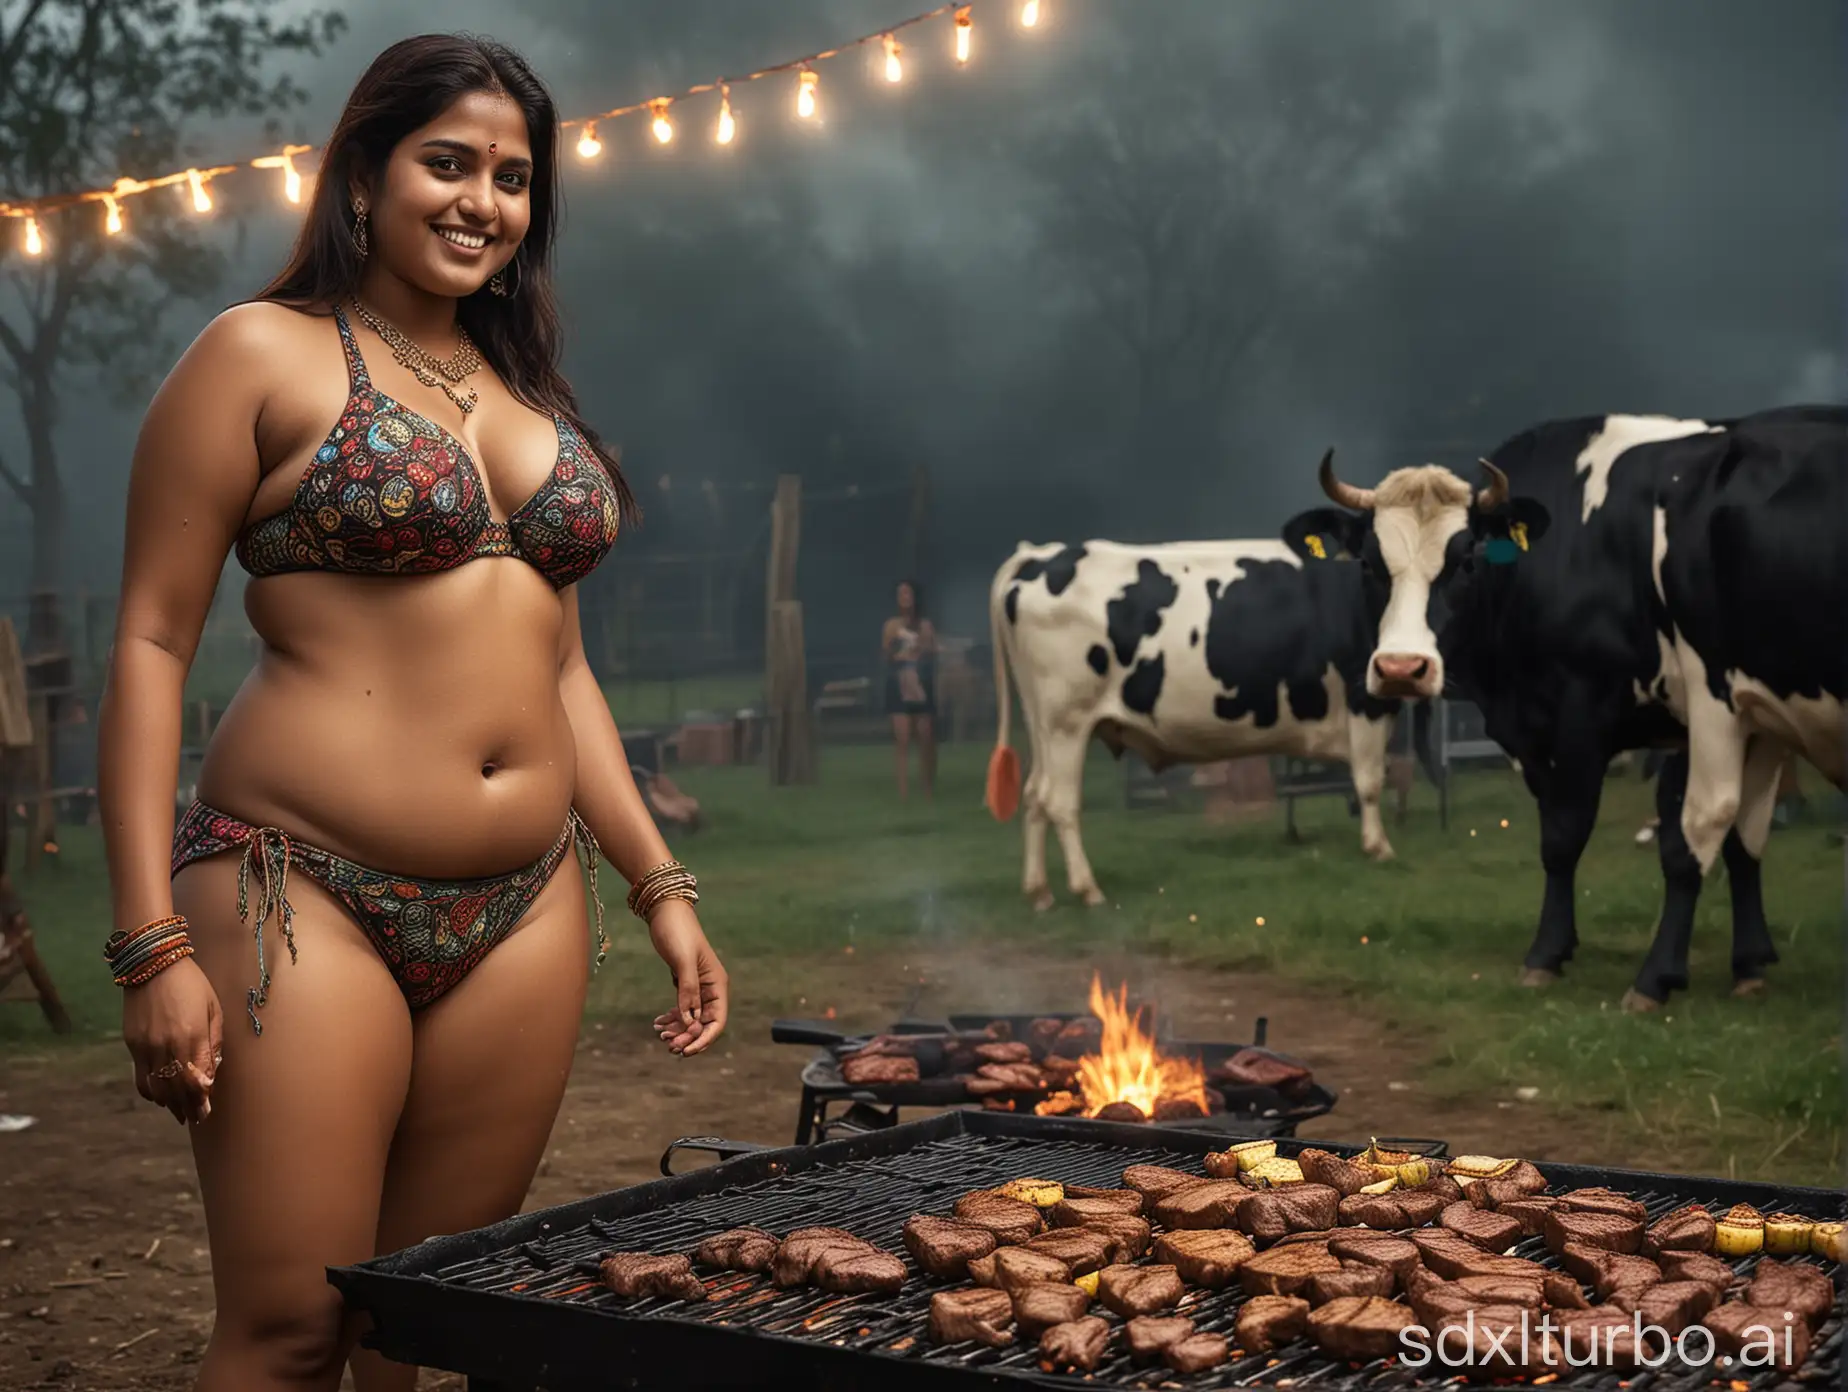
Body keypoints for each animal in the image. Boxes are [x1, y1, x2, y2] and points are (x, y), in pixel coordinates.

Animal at [983, 525, 1426, 913]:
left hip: (1044, 725)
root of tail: (1044, 553)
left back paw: (1040, 892)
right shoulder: (1367, 700)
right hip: (1067, 722)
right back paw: (1087, 889)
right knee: (1058, 801)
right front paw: (1380, 848)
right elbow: (1369, 780)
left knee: (1034, 796)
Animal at [1300, 406, 1848, 1005]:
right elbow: (1741, 840)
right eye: (1369, 564)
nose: (1402, 668)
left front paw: (1554, 956)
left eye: (1466, 561)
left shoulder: (1605, 709)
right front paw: (1748, 963)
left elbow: (1585, 834)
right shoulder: (1738, 718)